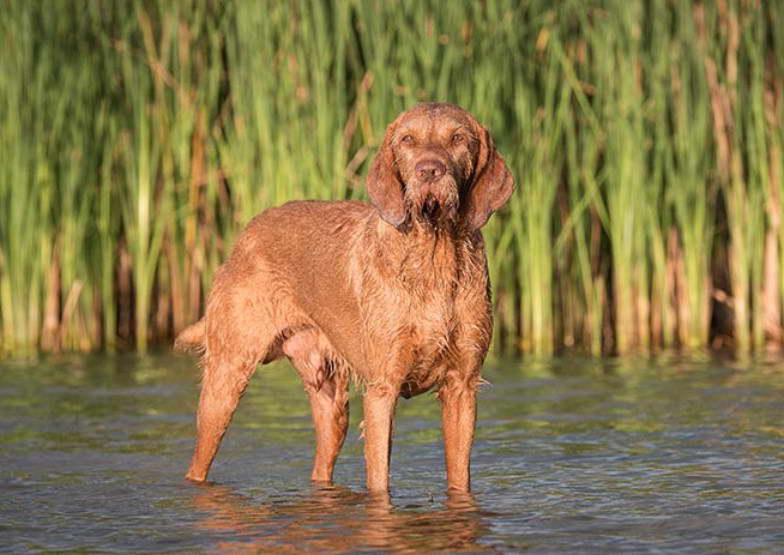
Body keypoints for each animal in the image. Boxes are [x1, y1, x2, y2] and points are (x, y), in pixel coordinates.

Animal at [174, 102, 512, 494]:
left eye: (458, 138)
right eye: (407, 139)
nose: (429, 170)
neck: (433, 256)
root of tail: (246, 233)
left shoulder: (462, 387)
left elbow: (460, 478)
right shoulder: (382, 389)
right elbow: (379, 480)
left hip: (331, 400)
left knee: (322, 462)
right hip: (227, 377)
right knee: (200, 458)